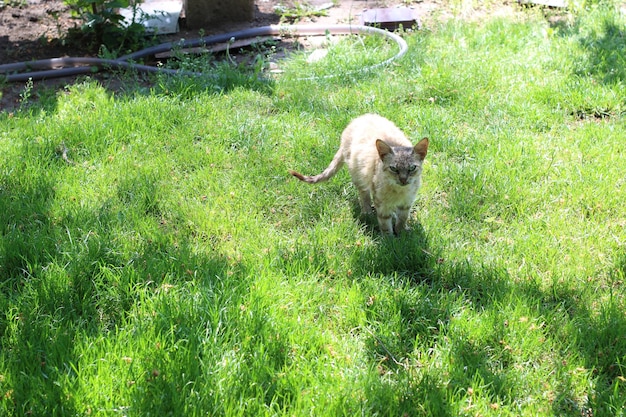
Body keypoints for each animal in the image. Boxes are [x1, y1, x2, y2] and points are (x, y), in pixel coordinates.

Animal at [288, 114, 426, 236]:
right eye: (394, 168)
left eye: (412, 168)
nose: (403, 179)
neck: (399, 192)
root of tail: (358, 119)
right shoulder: (381, 203)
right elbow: (385, 224)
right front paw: (390, 240)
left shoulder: (407, 203)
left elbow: (402, 219)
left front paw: (402, 233)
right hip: (358, 175)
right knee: (364, 195)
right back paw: (367, 212)